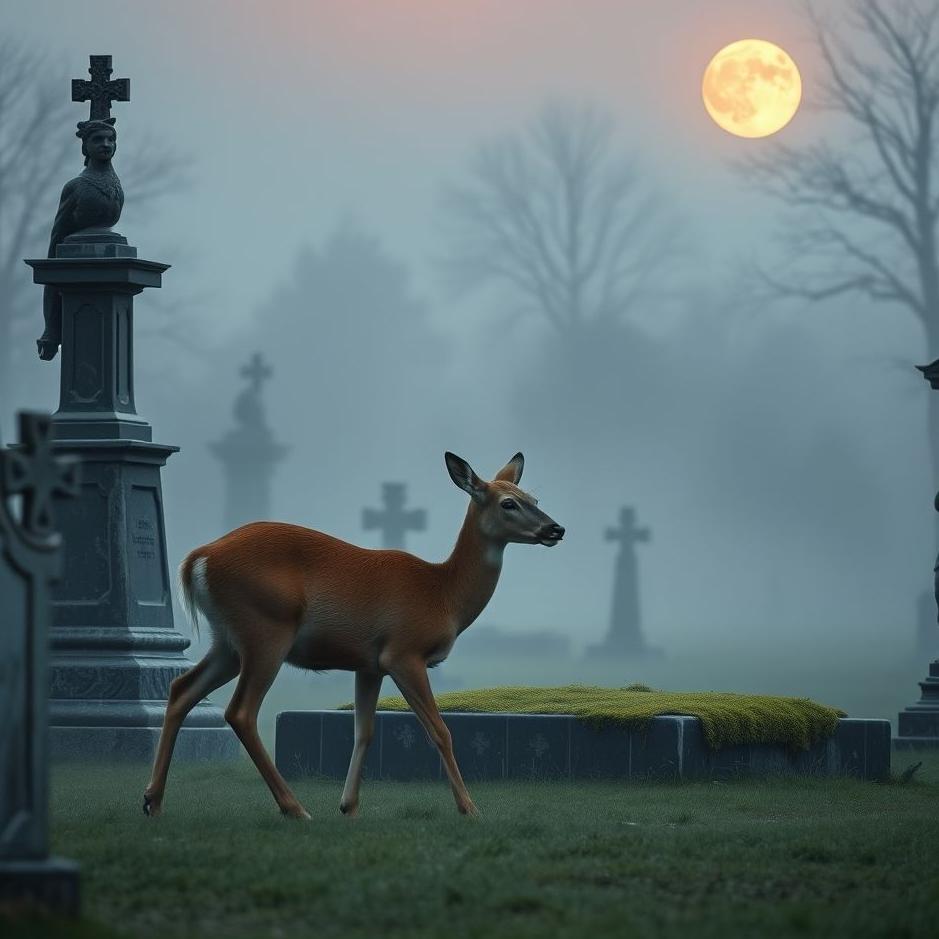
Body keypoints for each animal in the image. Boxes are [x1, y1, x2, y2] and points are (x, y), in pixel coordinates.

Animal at [143, 451, 564, 820]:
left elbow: (364, 731)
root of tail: (196, 559)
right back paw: (294, 808)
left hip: (227, 641)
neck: (443, 594)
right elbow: (439, 730)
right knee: (241, 711)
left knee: (181, 690)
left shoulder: (369, 664)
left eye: (535, 499)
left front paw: (349, 806)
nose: (556, 529)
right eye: (509, 503)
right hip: (266, 629)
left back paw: (153, 801)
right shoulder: (403, 651)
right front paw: (470, 808)